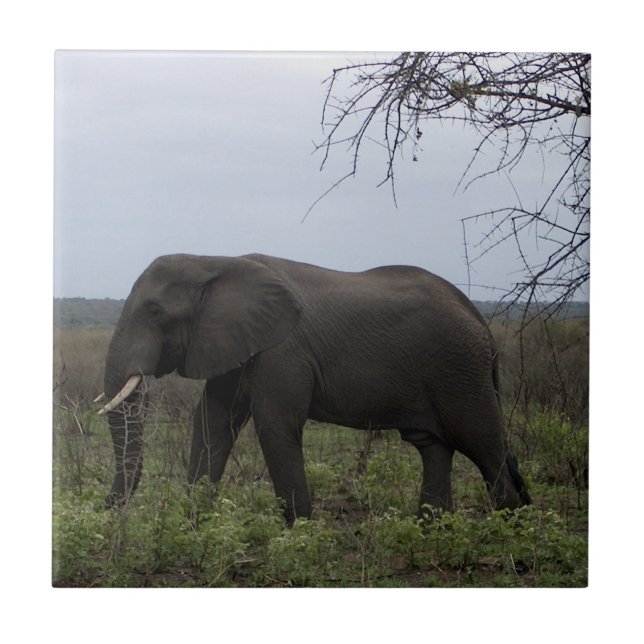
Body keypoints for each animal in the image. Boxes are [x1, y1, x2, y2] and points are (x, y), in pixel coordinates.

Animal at [98, 253, 531, 524]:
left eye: (155, 312)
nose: (107, 509)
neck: (213, 261)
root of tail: (483, 323)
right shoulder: (229, 341)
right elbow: (212, 422)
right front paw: (195, 522)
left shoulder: (281, 349)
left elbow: (274, 425)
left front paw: (299, 534)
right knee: (434, 447)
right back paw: (430, 530)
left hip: (461, 371)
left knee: (484, 446)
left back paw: (509, 532)